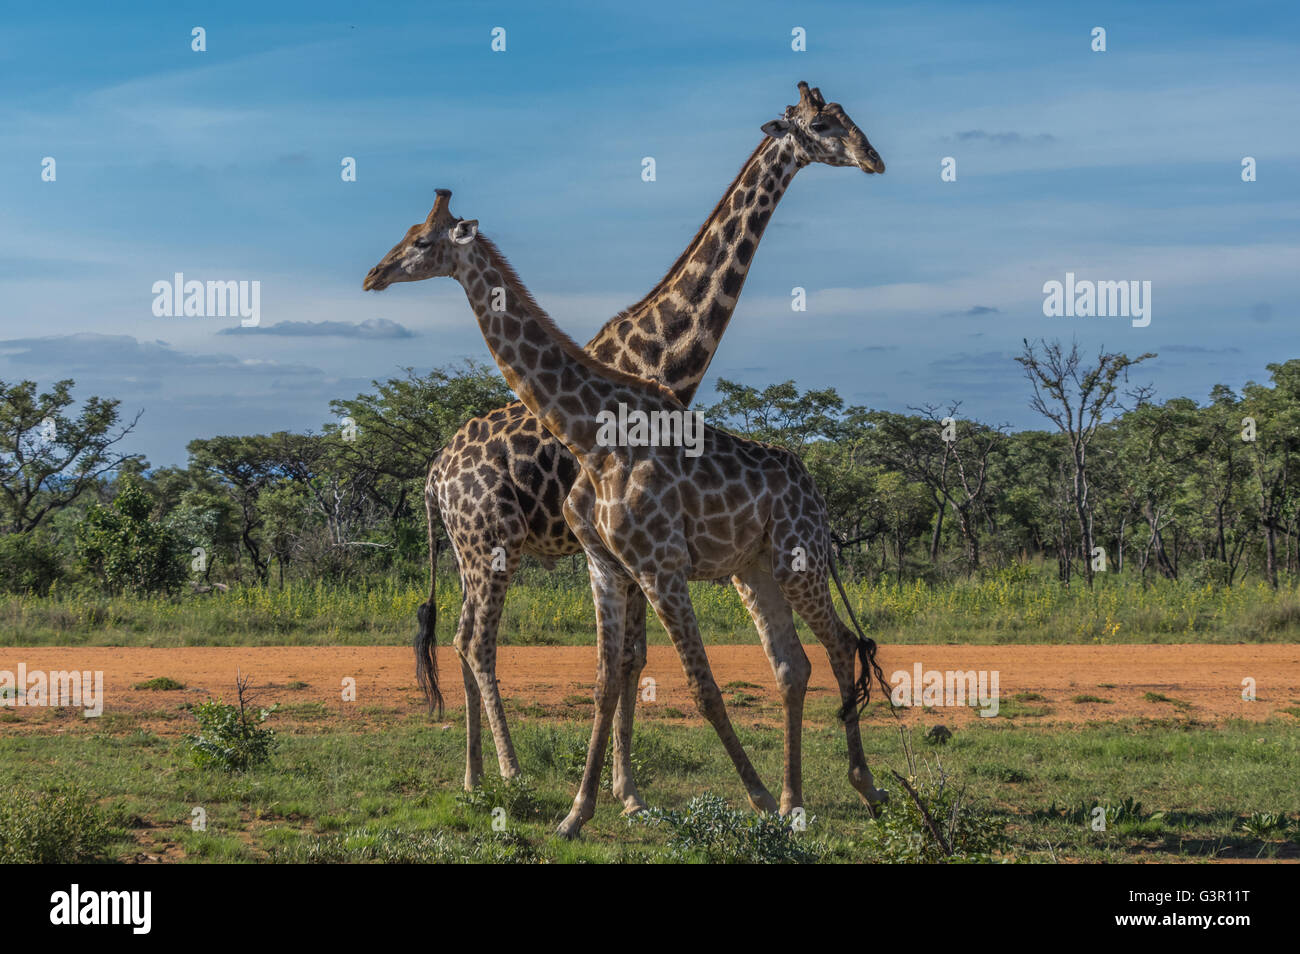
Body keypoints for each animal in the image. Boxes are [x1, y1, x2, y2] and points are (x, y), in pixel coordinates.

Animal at [390, 82, 883, 805]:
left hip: (469, 548)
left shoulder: (638, 552)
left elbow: (630, 660)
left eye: (846, 117)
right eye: (822, 125)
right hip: (489, 545)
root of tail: (432, 476)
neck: (667, 354)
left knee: (456, 639)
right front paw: (623, 791)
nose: (873, 157)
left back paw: (477, 775)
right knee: (476, 643)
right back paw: (505, 771)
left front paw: (624, 790)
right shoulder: (629, 548)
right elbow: (630, 660)